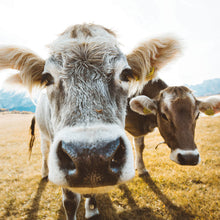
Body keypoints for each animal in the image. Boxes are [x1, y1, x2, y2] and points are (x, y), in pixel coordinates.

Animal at [0, 23, 180, 219]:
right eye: (47, 78)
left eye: (126, 74)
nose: (91, 157)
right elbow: (70, 202)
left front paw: (92, 208)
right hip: (44, 135)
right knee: (44, 153)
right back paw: (45, 173)